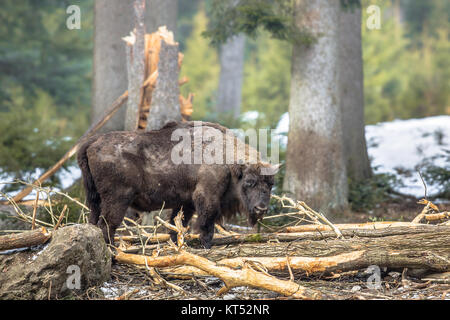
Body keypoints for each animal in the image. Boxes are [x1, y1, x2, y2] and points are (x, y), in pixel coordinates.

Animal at [79, 121, 280, 249]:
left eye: (271, 184)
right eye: (249, 182)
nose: (261, 208)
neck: (227, 161)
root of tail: (92, 142)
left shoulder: (186, 202)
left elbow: (177, 225)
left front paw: (177, 244)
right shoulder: (206, 197)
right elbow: (206, 223)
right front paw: (205, 245)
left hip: (95, 199)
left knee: (94, 221)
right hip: (118, 199)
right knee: (107, 224)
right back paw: (113, 252)